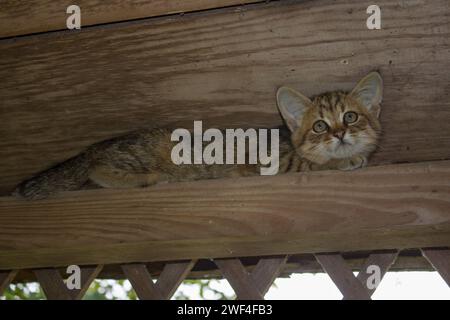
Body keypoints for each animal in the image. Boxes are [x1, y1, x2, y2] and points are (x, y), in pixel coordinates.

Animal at [12, 72, 382, 200]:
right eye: (320, 126)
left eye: (350, 117)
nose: (340, 133)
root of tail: (94, 146)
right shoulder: (267, 166)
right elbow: (316, 165)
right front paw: (346, 160)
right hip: (141, 154)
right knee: (97, 170)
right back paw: (150, 178)